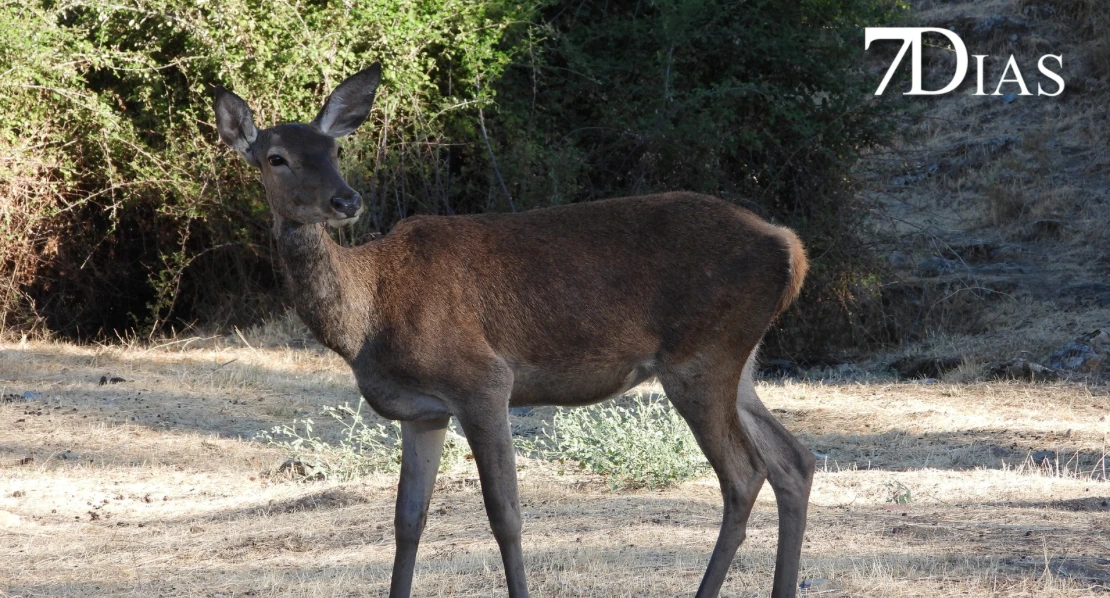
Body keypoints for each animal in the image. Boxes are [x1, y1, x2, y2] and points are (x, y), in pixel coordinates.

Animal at [214, 63, 815, 598]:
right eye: (276, 157)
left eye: (334, 151)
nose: (346, 200)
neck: (367, 320)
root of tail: (790, 246)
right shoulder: (422, 411)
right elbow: (407, 520)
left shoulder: (480, 381)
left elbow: (505, 514)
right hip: (739, 361)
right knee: (794, 459)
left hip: (701, 356)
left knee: (745, 473)